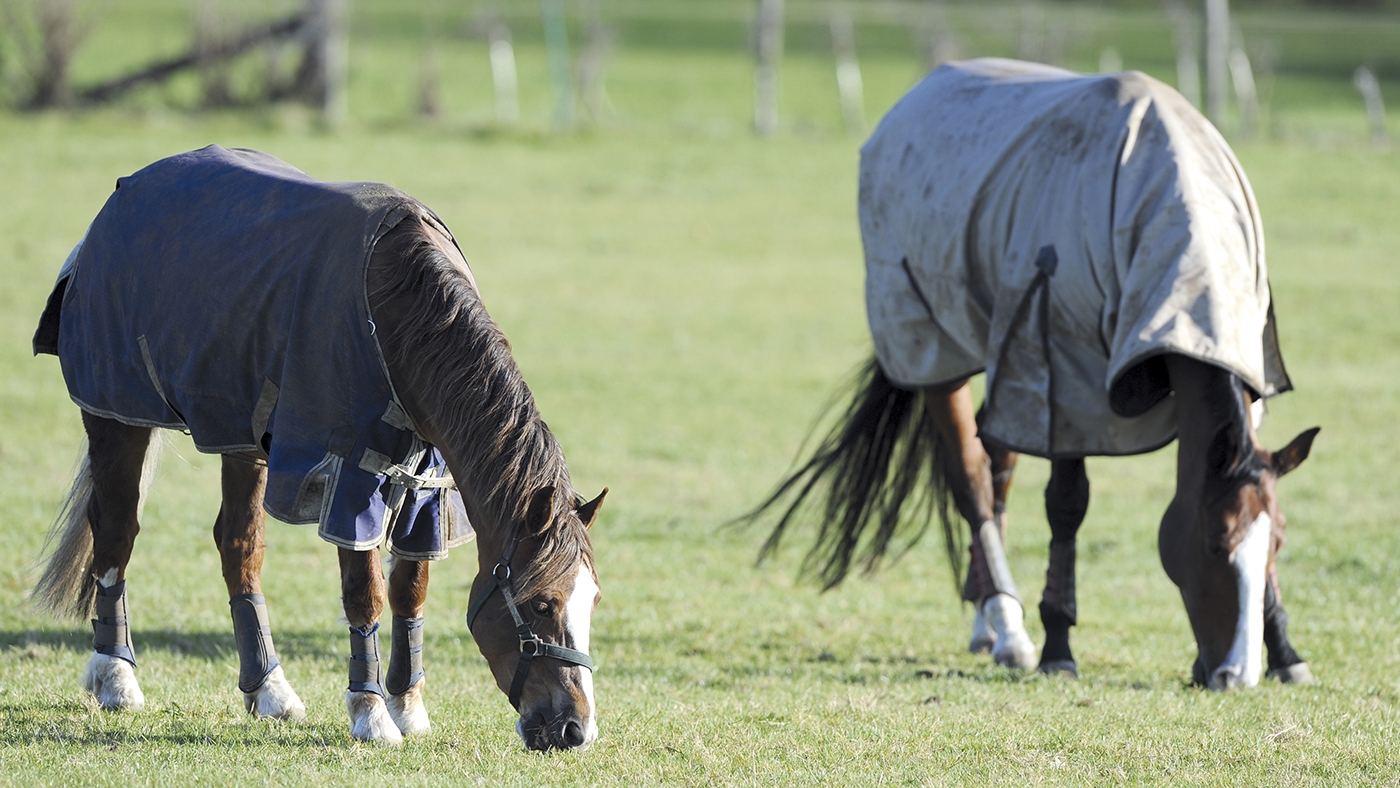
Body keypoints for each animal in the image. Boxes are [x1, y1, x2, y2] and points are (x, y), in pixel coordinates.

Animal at [29, 146, 606, 749]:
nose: (575, 729)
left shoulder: (426, 484)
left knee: (237, 546)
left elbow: (410, 589)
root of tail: (117, 202)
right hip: (115, 410)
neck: (398, 311)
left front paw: (407, 706)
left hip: (240, 430)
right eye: (542, 603)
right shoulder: (349, 476)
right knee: (116, 530)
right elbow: (365, 593)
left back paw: (269, 689)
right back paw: (115, 675)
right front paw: (371, 713)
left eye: (591, 601)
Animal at [748, 59, 1318, 689]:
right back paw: (1009, 627)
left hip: (1006, 362)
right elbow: (1066, 505)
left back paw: (986, 621)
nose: (1236, 674)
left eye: (1280, 544)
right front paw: (1057, 644)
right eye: (1217, 544)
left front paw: (1285, 651)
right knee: (970, 478)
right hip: (934, 347)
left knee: (997, 464)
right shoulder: (1066, 376)